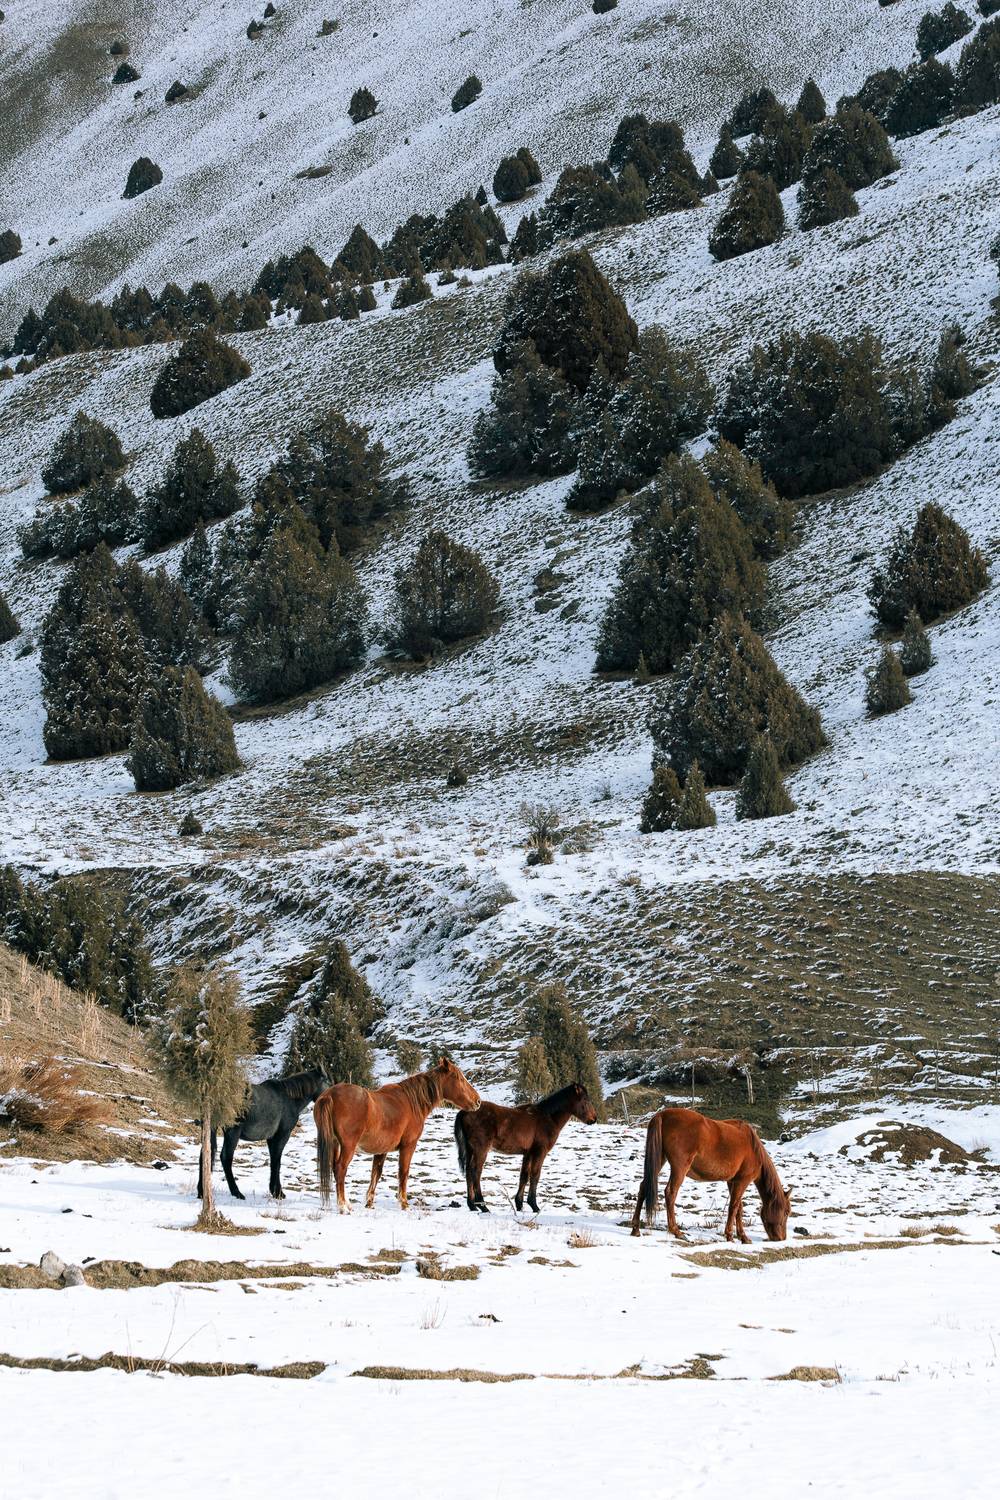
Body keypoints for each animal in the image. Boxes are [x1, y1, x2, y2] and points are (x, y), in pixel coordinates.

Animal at [197, 1068, 330, 1202]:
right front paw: (278, 1192)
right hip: (232, 1133)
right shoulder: (282, 1135)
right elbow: (277, 1163)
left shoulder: (271, 1139)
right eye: (327, 1081)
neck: (290, 1098)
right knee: (225, 1158)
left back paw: (202, 1192)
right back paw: (237, 1192)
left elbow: (274, 1162)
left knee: (206, 1155)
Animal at [315, 1057, 480, 1212]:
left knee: (335, 1169)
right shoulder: (408, 1146)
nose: (478, 1101)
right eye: (459, 1078)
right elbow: (403, 1172)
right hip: (348, 1147)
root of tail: (329, 1095)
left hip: (335, 1144)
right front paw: (404, 1203)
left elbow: (376, 1174)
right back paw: (343, 1206)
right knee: (340, 1169)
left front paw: (369, 1202)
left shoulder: (381, 1150)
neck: (412, 1101)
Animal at [454, 1082, 598, 1213]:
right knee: (476, 1172)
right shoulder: (540, 1152)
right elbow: (535, 1175)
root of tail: (465, 1112)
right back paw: (483, 1206)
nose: (594, 1119)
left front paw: (519, 1204)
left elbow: (524, 1175)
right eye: (585, 1099)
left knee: (468, 1172)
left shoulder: (528, 1153)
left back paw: (472, 1205)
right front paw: (534, 1205)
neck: (547, 1118)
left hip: (470, 1149)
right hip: (481, 1149)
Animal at [630, 1106, 791, 1243]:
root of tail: (662, 1114)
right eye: (786, 1212)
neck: (752, 1146)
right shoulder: (742, 1181)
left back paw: (636, 1228)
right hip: (680, 1168)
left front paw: (743, 1237)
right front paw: (730, 1235)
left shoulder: (732, 1181)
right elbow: (734, 1207)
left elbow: (738, 1208)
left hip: (659, 1159)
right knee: (670, 1193)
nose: (781, 1238)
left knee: (644, 1187)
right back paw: (677, 1231)